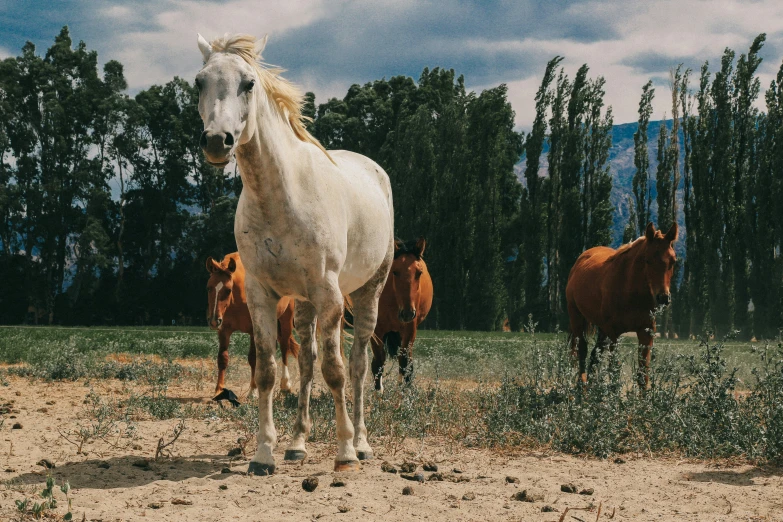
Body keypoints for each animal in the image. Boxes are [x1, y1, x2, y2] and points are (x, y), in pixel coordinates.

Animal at [205, 253, 300, 394]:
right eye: (209, 288)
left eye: (228, 290)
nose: (213, 321)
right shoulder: (224, 330)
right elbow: (222, 358)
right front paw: (219, 390)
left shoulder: (253, 331)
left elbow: (253, 358)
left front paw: (253, 391)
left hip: (285, 321)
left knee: (284, 348)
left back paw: (285, 384)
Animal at [370, 238, 432, 388]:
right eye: (395, 272)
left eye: (419, 273)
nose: (407, 313)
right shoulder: (376, 329)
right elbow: (378, 364)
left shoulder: (409, 328)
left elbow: (406, 364)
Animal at [568, 221, 676, 388]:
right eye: (647, 260)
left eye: (673, 261)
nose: (663, 297)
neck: (629, 291)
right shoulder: (614, 333)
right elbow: (614, 370)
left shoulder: (646, 332)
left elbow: (642, 373)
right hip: (577, 319)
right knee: (582, 351)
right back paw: (582, 388)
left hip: (602, 330)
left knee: (594, 355)